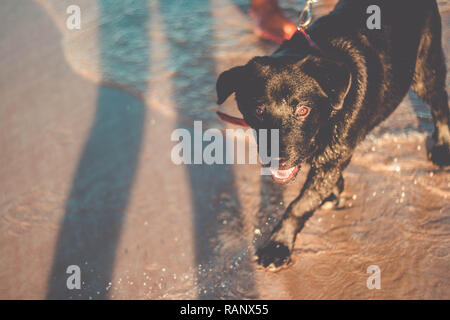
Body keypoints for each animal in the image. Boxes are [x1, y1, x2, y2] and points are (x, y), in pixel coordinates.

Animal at [216, 0, 448, 270]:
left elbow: (299, 205)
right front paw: (332, 191)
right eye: (259, 110)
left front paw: (278, 245)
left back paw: (442, 146)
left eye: (303, 110)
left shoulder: (335, 154)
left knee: (440, 102)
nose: (277, 160)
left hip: (425, 68)